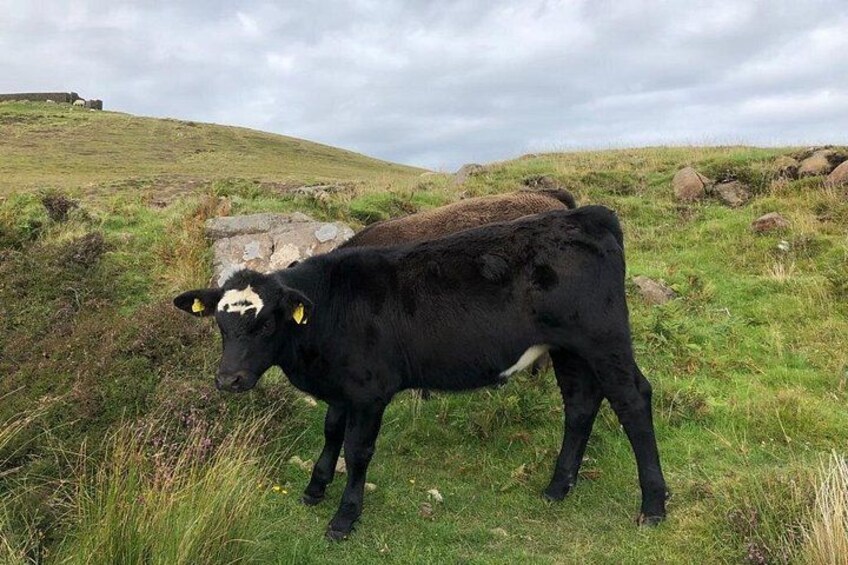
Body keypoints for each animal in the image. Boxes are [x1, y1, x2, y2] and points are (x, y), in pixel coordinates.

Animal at [174, 205, 667, 540]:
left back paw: (653, 505)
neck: (330, 307)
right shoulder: (342, 386)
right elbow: (331, 431)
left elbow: (357, 451)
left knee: (632, 399)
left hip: (603, 339)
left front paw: (344, 516)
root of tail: (586, 214)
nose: (229, 380)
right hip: (568, 349)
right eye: (220, 323)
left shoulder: (370, 391)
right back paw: (558, 487)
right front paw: (315, 488)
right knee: (580, 403)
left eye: (267, 323)